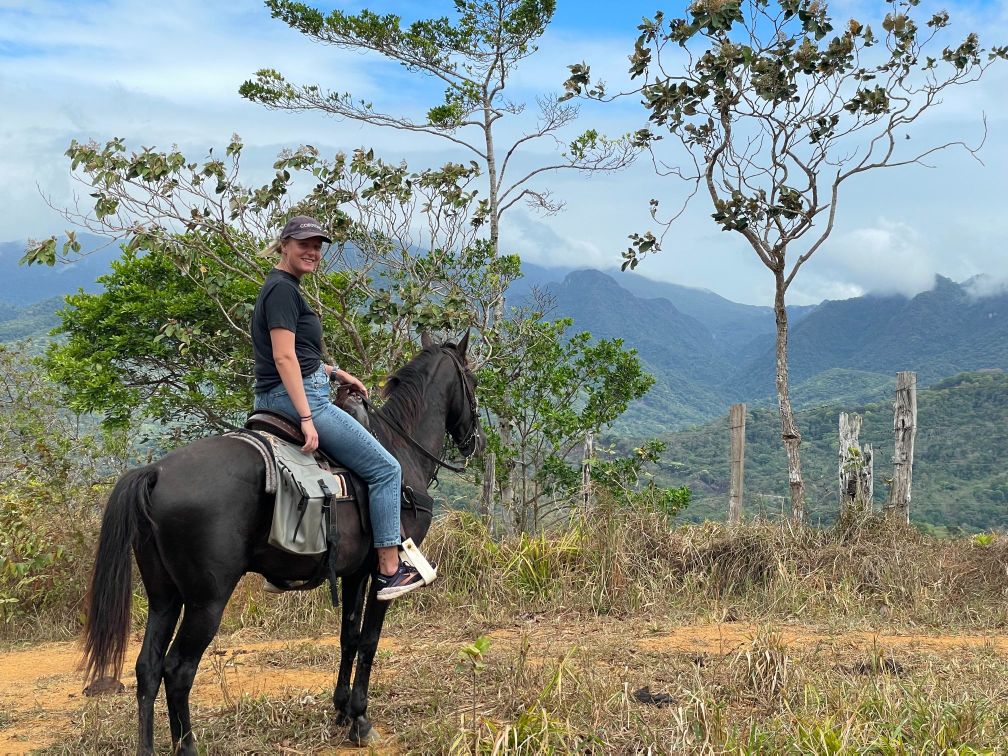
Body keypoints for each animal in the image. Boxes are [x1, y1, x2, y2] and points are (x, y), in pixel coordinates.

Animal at [81, 332, 485, 755]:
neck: (400, 451)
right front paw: (360, 719)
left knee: (147, 667)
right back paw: (187, 747)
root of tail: (155, 472)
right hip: (206, 601)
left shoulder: (354, 573)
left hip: (164, 595)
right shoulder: (380, 572)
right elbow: (370, 641)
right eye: (472, 381)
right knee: (177, 670)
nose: (475, 441)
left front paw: (341, 710)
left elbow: (349, 637)